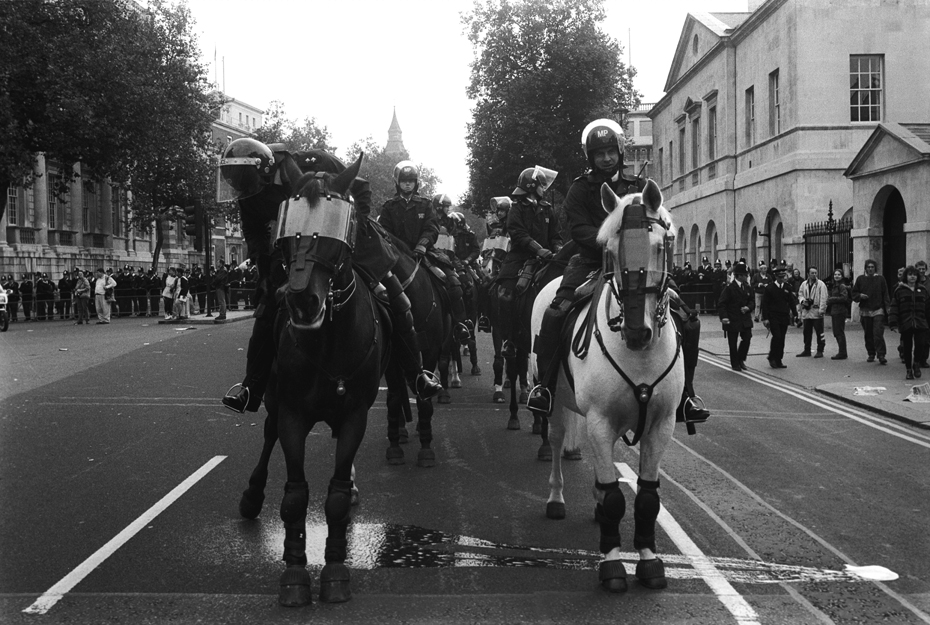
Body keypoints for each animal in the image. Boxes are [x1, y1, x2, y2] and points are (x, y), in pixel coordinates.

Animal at [237, 157, 390, 608]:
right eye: (289, 230)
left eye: (339, 225)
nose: (302, 299)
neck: (329, 343)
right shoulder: (292, 414)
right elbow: (294, 497)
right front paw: (294, 573)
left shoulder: (355, 415)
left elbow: (335, 497)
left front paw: (336, 570)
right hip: (271, 397)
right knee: (267, 434)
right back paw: (252, 495)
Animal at [528, 178, 680, 592]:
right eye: (608, 251)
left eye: (660, 245)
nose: (637, 332)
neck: (639, 355)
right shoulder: (598, 420)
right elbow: (616, 499)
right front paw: (612, 564)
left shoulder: (660, 425)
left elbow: (646, 498)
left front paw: (648, 560)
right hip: (557, 402)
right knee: (558, 439)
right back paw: (556, 499)